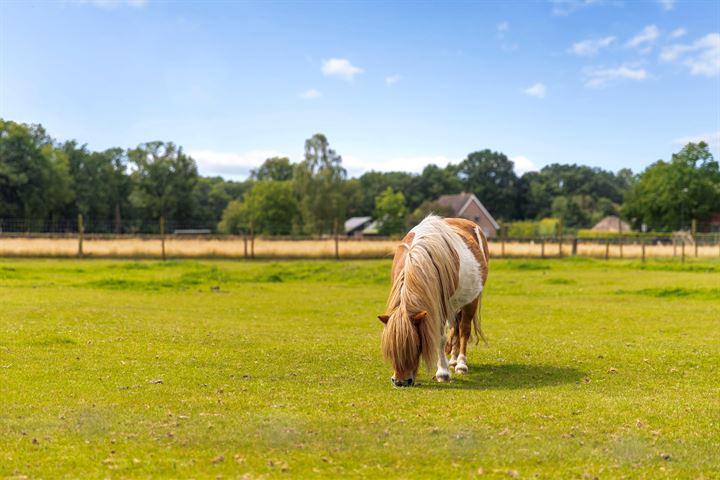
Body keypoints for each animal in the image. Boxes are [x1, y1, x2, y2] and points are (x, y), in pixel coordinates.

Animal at [376, 216, 490, 388]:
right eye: (390, 349)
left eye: (416, 345)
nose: (401, 382)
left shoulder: (440, 306)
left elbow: (441, 338)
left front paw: (443, 373)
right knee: (455, 328)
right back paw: (453, 360)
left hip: (470, 300)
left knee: (464, 329)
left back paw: (461, 364)